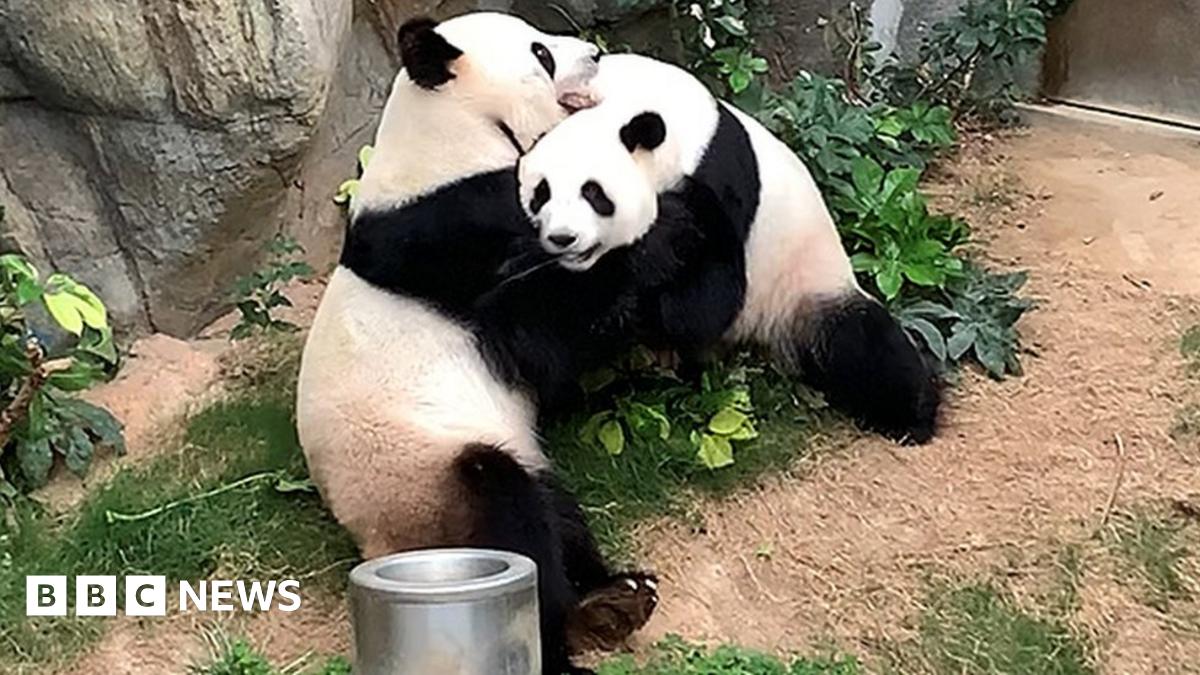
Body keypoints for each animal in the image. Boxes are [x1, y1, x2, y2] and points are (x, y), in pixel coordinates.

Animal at [296, 14, 654, 674]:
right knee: (508, 513)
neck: (452, 133)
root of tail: (375, 544)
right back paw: (566, 632)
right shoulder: (453, 232)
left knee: (556, 511)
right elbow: (538, 333)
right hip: (423, 478)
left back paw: (614, 597)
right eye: (541, 53)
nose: (595, 53)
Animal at [518, 53, 940, 443]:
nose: (563, 238)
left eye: (594, 194)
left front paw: (651, 255)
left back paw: (912, 418)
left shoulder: (718, 179)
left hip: (804, 287)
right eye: (542, 193)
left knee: (864, 346)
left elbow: (706, 303)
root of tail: (758, 342)